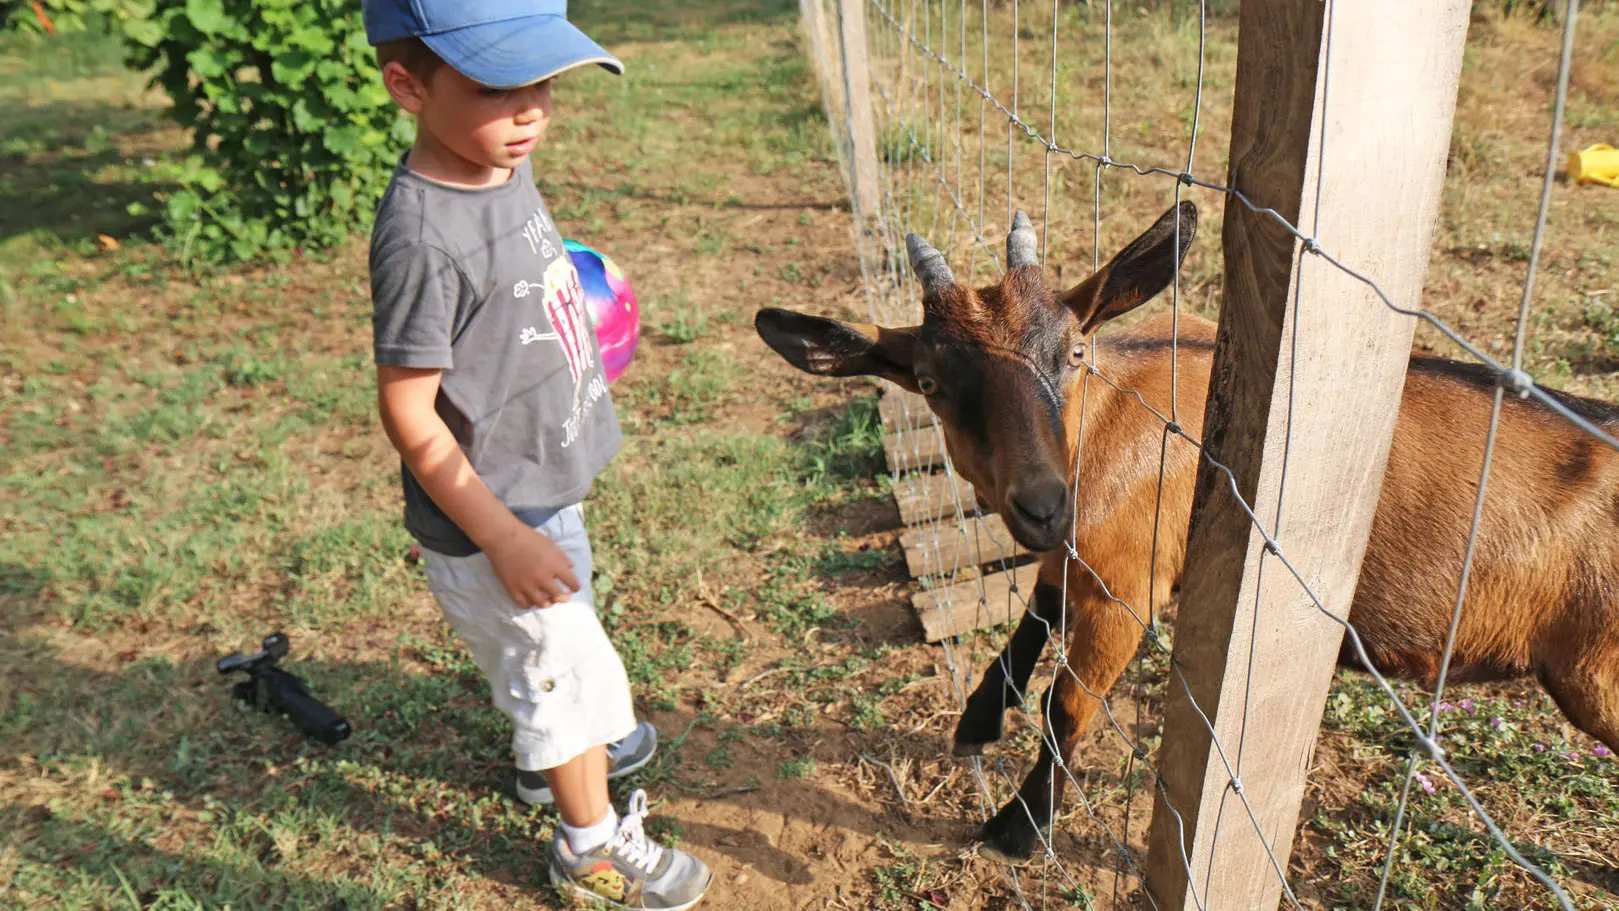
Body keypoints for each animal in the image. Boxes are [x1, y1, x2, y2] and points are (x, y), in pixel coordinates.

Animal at [754, 203, 1619, 867]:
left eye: (1073, 351)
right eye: (930, 382)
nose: (1040, 503)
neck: (1109, 422)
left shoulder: (1129, 588)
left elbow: (1067, 704)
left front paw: (1016, 828)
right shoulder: (1080, 558)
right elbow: (1032, 615)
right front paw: (975, 720)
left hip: (1596, 674)